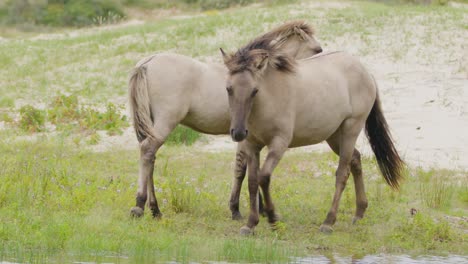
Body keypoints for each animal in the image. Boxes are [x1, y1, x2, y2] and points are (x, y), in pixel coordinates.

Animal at [129, 21, 326, 219]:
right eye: (317, 49)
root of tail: (148, 62)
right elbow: (241, 169)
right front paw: (237, 209)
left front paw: (259, 208)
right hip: (165, 122)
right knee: (147, 152)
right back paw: (139, 205)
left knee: (150, 159)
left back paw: (155, 209)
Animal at [221, 35, 404, 235]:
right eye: (229, 88)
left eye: (255, 90)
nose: (238, 132)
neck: (269, 98)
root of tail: (366, 72)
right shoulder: (252, 145)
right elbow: (253, 182)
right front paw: (250, 224)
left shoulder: (279, 143)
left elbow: (264, 177)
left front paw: (273, 219)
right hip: (334, 136)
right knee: (355, 159)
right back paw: (359, 212)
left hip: (351, 129)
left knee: (342, 173)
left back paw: (328, 222)